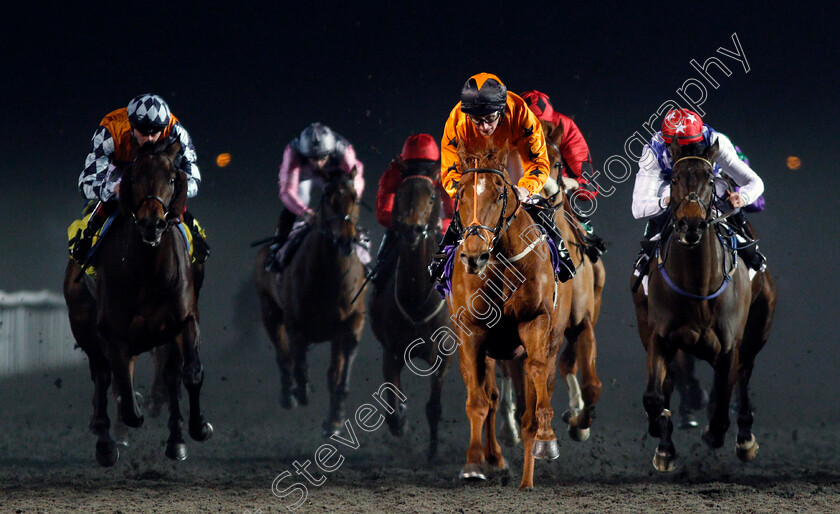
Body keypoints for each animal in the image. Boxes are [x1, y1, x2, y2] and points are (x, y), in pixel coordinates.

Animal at [63, 139, 213, 464]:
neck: (151, 275)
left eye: (172, 179)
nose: (151, 224)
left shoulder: (185, 320)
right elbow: (125, 395)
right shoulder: (114, 335)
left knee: (169, 375)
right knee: (103, 377)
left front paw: (196, 428)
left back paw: (175, 438)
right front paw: (130, 416)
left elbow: (190, 373)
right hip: (84, 325)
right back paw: (106, 444)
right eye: (133, 179)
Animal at [251, 168, 366, 436]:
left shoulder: (351, 322)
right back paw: (288, 394)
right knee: (283, 356)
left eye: (355, 197)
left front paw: (335, 419)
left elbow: (339, 373)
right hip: (269, 310)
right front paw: (300, 392)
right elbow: (298, 363)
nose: (345, 241)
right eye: (328, 199)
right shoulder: (295, 324)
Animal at [370, 162, 456, 458]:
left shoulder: (444, 354)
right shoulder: (391, 352)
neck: (418, 301)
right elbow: (393, 409)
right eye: (399, 195)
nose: (412, 230)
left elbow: (434, 407)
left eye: (431, 198)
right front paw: (402, 421)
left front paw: (432, 453)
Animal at [446, 144, 572, 488]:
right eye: (461, 193)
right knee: (490, 395)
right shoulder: (472, 332)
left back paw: (527, 477)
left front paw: (546, 441)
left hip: (550, 340)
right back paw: (495, 459)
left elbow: (538, 378)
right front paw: (474, 463)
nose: (475, 255)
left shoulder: (535, 321)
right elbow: (478, 399)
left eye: (500, 193)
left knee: (535, 397)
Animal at [632, 137, 776, 472]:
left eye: (710, 180)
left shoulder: (730, 346)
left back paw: (744, 438)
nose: (691, 225)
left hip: (758, 329)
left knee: (744, 376)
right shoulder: (659, 337)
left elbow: (723, 402)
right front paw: (662, 434)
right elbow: (654, 397)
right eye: (673, 180)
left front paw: (717, 433)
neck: (697, 285)